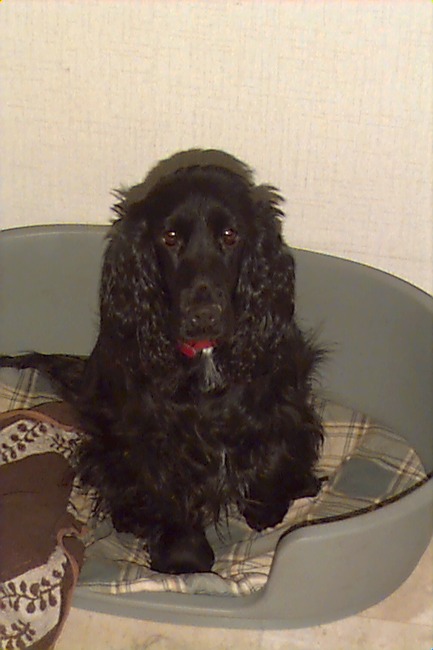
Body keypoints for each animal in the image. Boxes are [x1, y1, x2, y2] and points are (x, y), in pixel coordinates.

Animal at [1, 150, 325, 574]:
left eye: (230, 235)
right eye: (169, 238)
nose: (203, 316)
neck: (204, 358)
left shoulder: (277, 395)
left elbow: (273, 448)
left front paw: (268, 506)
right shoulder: (149, 432)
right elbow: (165, 489)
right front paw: (184, 557)